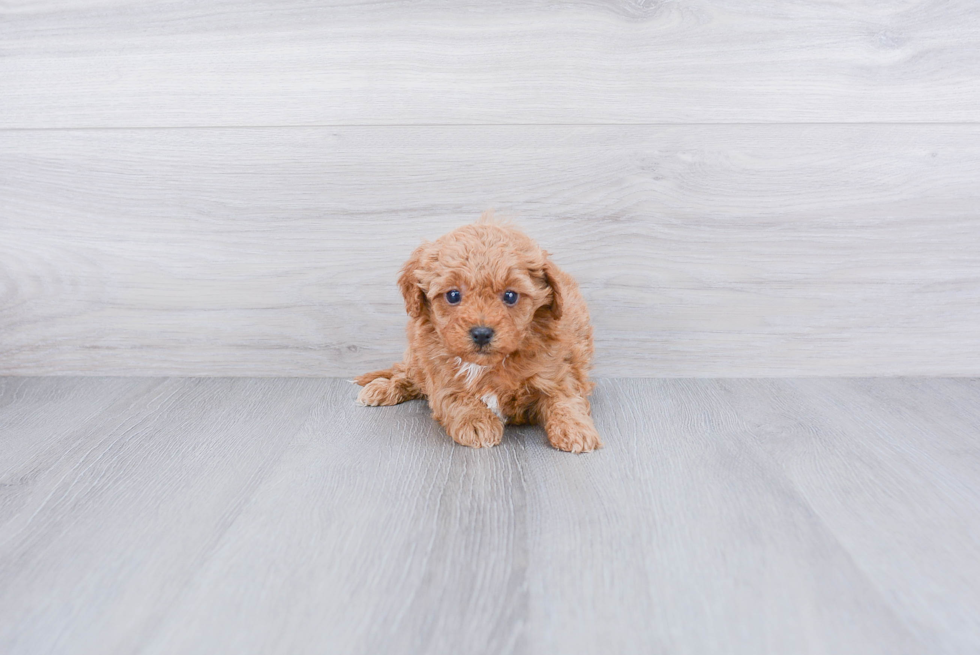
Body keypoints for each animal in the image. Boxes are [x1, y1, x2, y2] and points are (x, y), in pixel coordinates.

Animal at [354, 213, 596, 454]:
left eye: (510, 296)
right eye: (453, 295)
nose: (481, 333)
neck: (486, 365)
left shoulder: (556, 371)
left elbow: (564, 399)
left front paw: (576, 429)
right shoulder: (440, 373)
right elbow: (457, 398)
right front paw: (477, 422)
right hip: (416, 358)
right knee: (408, 375)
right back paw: (381, 388)